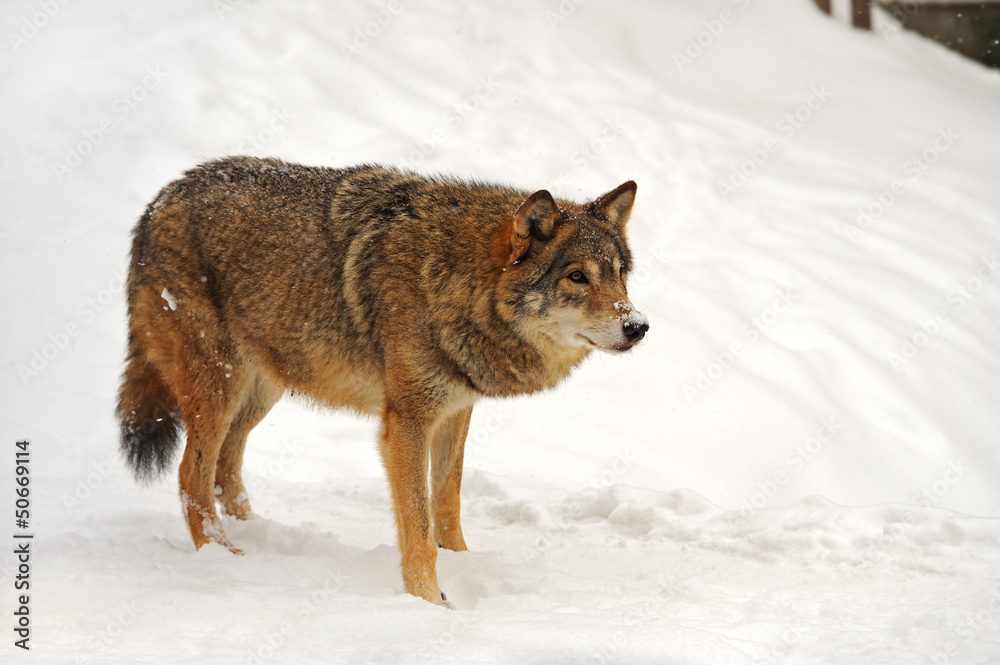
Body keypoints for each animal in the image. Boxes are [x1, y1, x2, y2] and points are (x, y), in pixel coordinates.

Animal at [117, 156, 648, 606]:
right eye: (577, 277)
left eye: (620, 275)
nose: (638, 326)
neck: (454, 280)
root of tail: (159, 200)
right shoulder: (407, 423)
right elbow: (419, 529)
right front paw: (431, 603)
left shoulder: (455, 411)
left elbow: (447, 505)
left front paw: (462, 564)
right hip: (220, 387)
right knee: (191, 475)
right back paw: (224, 556)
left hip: (263, 389)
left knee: (226, 468)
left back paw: (260, 536)